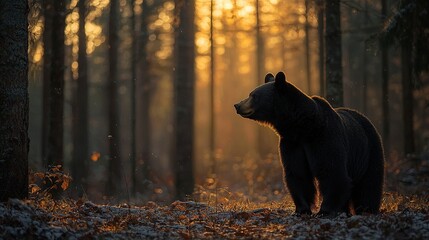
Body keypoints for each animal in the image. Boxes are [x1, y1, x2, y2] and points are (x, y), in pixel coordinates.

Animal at [234, 71, 384, 216]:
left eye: (253, 95)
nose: (237, 105)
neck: (304, 127)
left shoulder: (324, 138)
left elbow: (332, 171)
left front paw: (325, 210)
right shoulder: (292, 143)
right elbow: (298, 173)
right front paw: (302, 209)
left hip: (369, 150)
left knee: (370, 183)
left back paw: (367, 209)